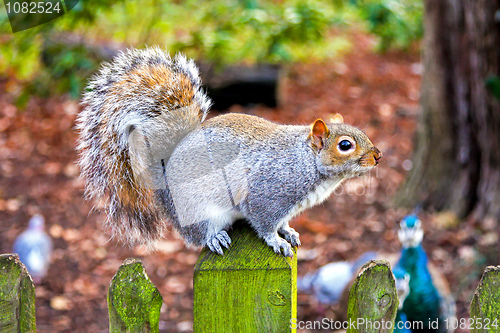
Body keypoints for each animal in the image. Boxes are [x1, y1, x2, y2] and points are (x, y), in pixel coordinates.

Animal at [76, 46, 382, 255]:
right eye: (345, 145)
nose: (378, 156)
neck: (304, 161)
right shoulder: (267, 194)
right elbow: (265, 222)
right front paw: (276, 240)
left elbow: (282, 222)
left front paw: (289, 232)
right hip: (195, 208)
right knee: (198, 234)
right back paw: (214, 237)